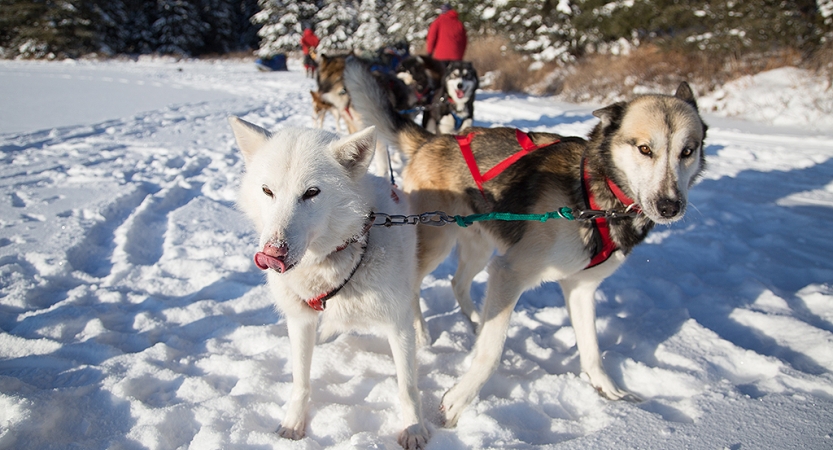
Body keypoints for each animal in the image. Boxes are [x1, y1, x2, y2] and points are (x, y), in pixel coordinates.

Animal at [226, 118, 426, 448]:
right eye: (267, 191)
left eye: (311, 192)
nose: (271, 254)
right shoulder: (300, 320)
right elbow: (300, 380)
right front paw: (294, 423)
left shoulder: (397, 325)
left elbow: (407, 386)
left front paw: (413, 427)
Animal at [344, 58, 708, 428]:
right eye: (645, 149)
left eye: (687, 151)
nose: (670, 206)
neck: (594, 194)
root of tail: (434, 140)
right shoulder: (510, 272)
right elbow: (492, 353)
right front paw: (458, 401)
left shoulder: (580, 287)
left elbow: (591, 348)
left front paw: (608, 389)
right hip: (437, 242)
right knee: (415, 287)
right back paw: (421, 335)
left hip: (480, 248)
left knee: (458, 282)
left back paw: (475, 322)